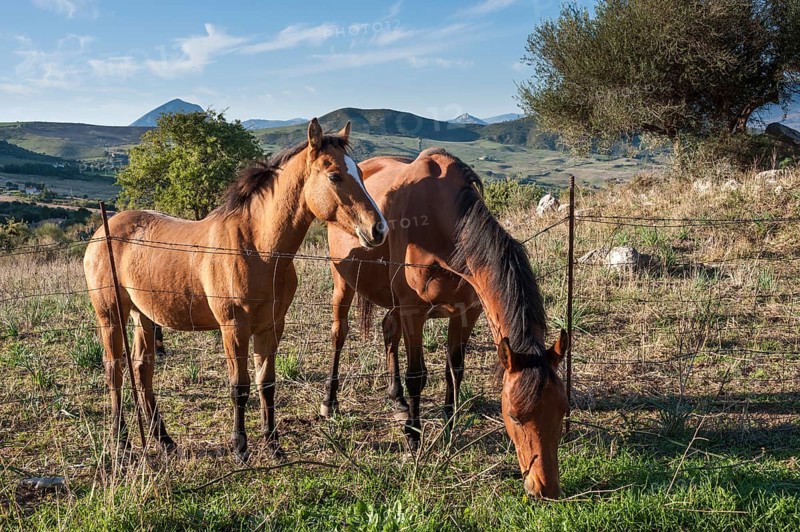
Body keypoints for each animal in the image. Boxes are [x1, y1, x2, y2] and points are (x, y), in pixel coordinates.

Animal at [83, 119, 388, 459]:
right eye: (335, 175)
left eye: (360, 172)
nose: (378, 229)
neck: (258, 249)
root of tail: (103, 230)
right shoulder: (234, 328)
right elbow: (239, 387)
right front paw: (240, 447)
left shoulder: (271, 327)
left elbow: (266, 383)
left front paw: (273, 444)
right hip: (111, 314)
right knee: (115, 370)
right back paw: (120, 440)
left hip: (144, 316)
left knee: (142, 368)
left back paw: (164, 439)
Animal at [323, 148, 569, 498]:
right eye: (514, 415)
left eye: (563, 410)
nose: (545, 488)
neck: (443, 226)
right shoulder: (413, 310)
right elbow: (417, 375)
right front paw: (414, 436)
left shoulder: (466, 312)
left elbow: (456, 370)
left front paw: (449, 430)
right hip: (343, 282)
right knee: (339, 334)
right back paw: (330, 402)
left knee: (388, 330)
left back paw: (397, 399)